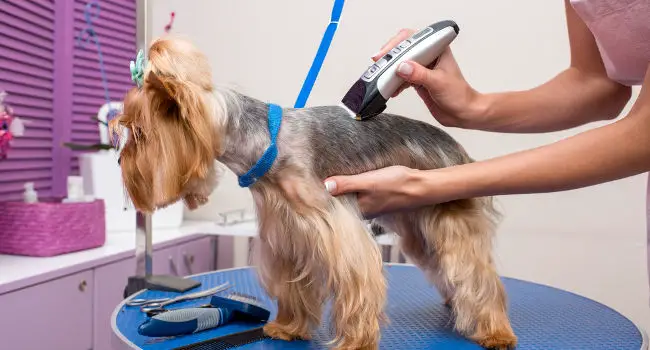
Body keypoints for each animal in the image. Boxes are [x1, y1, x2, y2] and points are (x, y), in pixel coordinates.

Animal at [111, 36, 516, 350]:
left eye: (140, 133)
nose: (118, 161)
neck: (267, 142)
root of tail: (457, 149)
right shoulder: (286, 234)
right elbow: (293, 289)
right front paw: (287, 328)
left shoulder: (334, 226)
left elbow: (357, 281)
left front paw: (355, 341)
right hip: (416, 225)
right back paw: (455, 305)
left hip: (450, 215)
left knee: (476, 273)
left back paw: (494, 331)